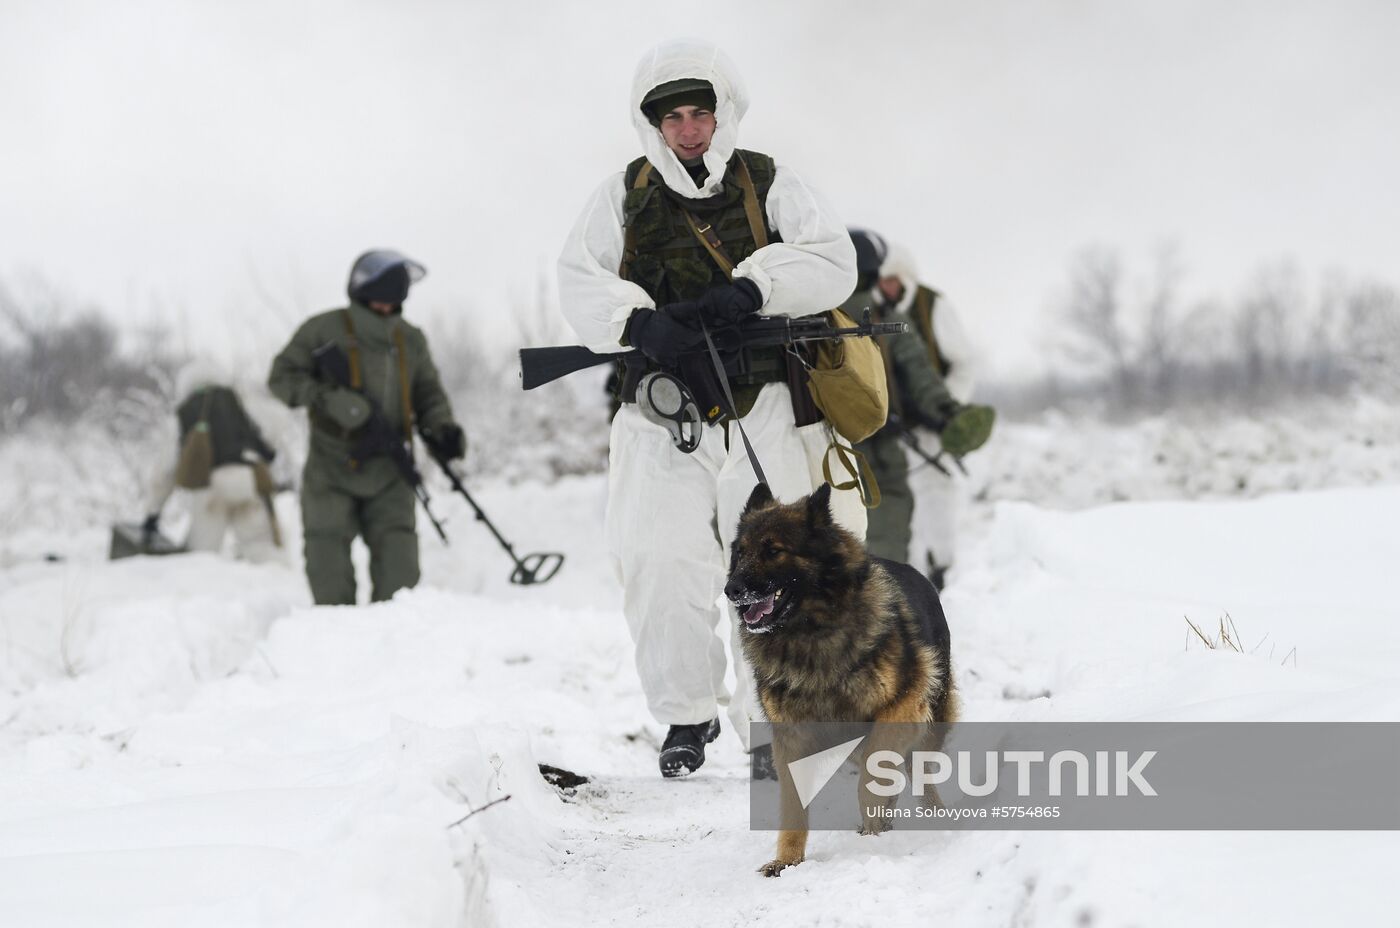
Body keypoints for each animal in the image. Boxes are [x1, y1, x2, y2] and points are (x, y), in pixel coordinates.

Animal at [728, 478, 957, 879]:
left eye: (774, 550)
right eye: (740, 553)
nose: (731, 590)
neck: (808, 633)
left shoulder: (902, 707)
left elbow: (871, 777)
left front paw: (873, 829)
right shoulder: (791, 737)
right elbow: (793, 806)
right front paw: (787, 861)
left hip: (927, 721)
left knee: (918, 772)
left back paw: (932, 818)